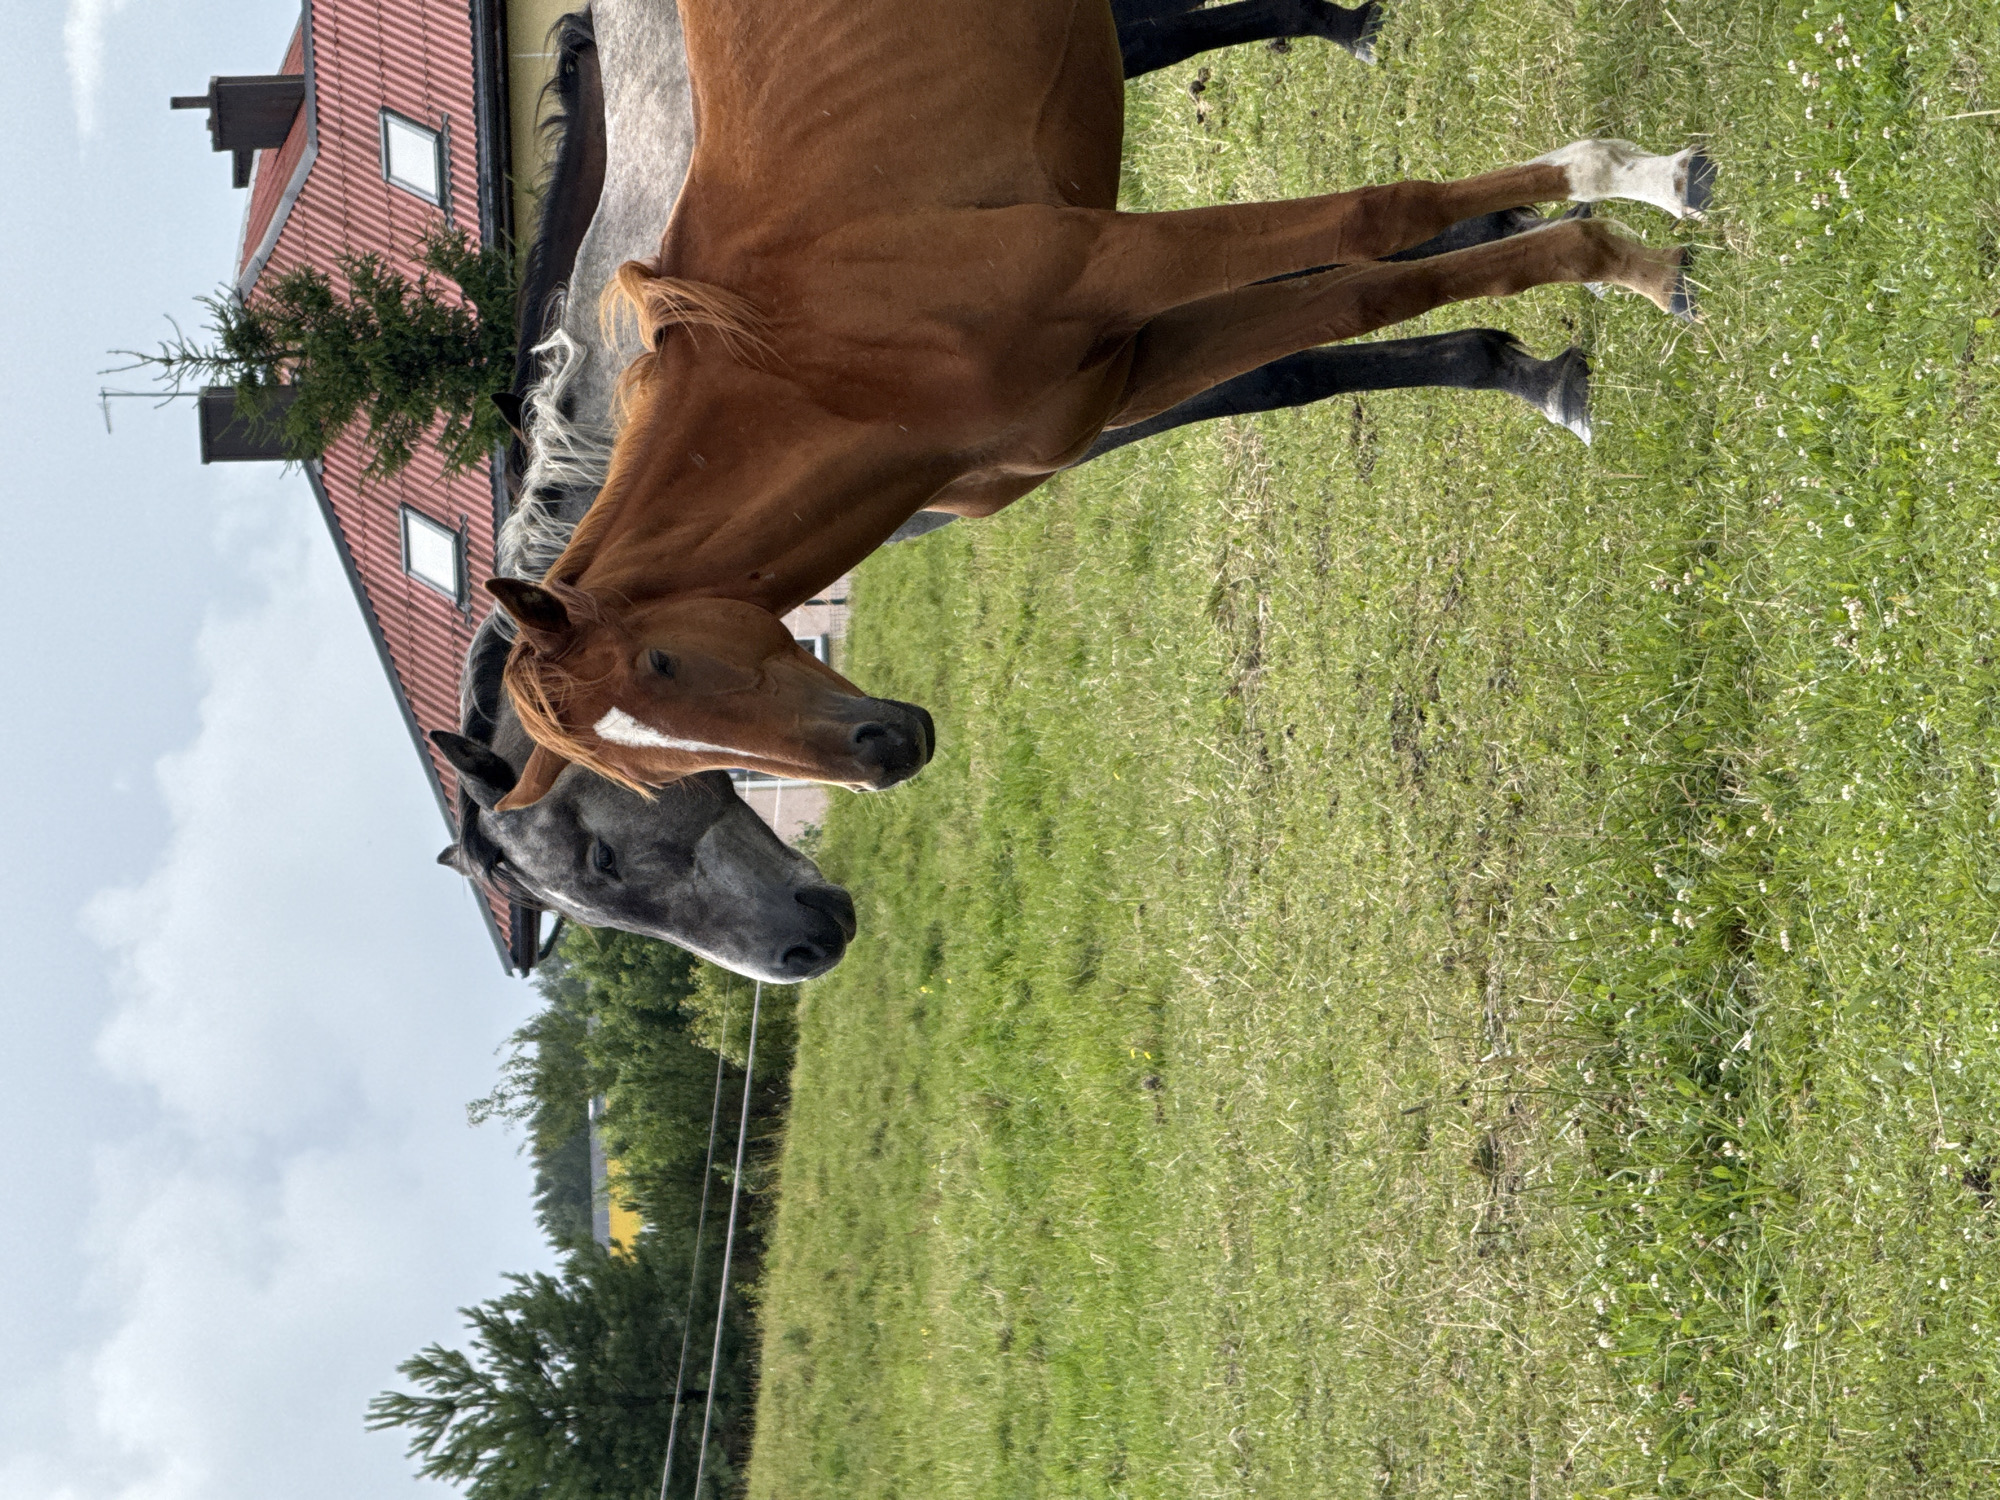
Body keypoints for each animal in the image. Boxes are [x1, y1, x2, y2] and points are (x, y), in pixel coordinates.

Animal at [446, 0, 1601, 970]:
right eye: (597, 896)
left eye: (600, 853)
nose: (806, 952)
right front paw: (1514, 292)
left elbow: (1297, 353)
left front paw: (1523, 342)